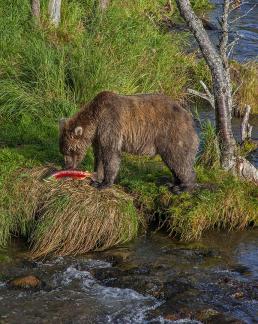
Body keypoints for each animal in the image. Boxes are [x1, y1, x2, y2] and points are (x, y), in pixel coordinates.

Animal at [59, 91, 200, 192]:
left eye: (70, 150)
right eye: (62, 150)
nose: (67, 166)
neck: (96, 121)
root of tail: (190, 118)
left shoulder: (110, 125)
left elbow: (111, 155)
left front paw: (104, 184)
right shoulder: (98, 136)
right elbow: (99, 155)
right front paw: (96, 177)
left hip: (173, 134)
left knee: (178, 160)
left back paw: (183, 187)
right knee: (173, 162)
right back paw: (172, 183)